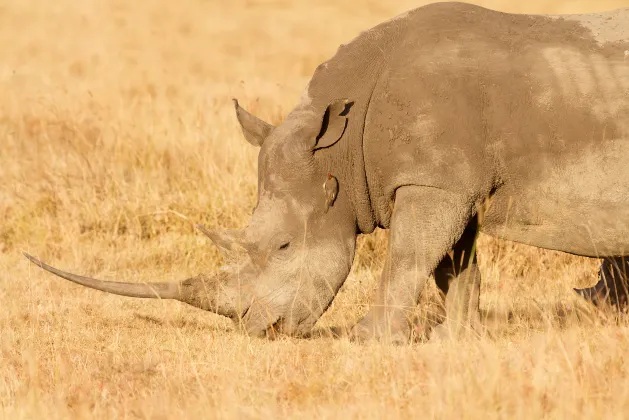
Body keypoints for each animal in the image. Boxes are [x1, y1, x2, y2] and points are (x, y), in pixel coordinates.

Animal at [27, 3, 628, 342]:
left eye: (285, 247)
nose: (260, 330)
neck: (339, 144)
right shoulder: (444, 181)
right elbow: (452, 265)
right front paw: (460, 340)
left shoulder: (432, 183)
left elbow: (408, 256)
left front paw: (368, 339)